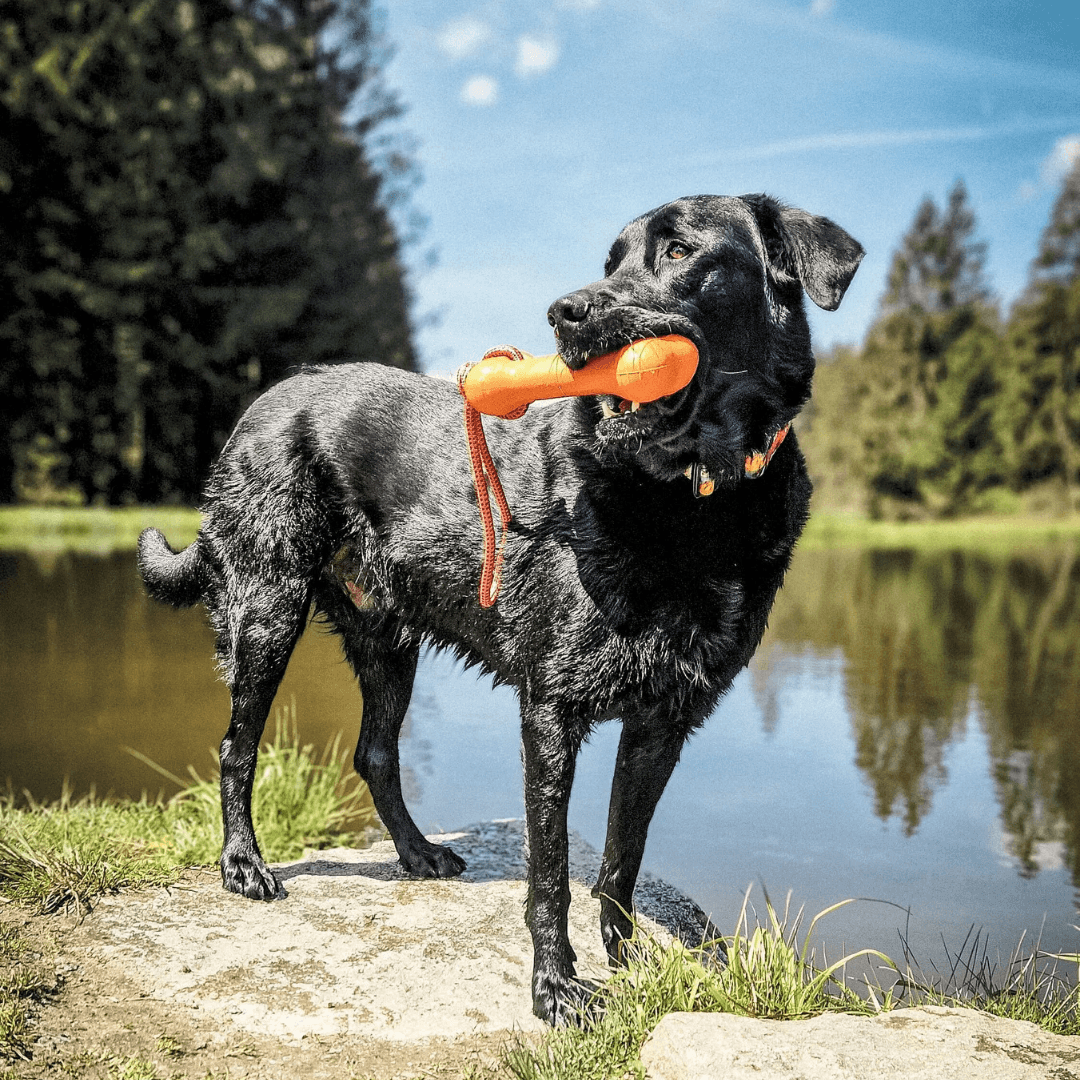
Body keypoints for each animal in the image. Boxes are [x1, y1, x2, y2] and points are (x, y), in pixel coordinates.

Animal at [139, 192, 859, 1019]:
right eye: (611, 259)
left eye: (679, 251)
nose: (563, 314)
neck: (691, 498)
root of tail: (261, 403)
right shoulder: (549, 710)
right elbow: (549, 868)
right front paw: (555, 988)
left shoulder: (663, 722)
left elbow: (622, 855)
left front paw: (626, 959)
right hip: (268, 609)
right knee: (237, 746)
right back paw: (243, 864)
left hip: (388, 641)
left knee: (374, 753)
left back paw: (417, 853)